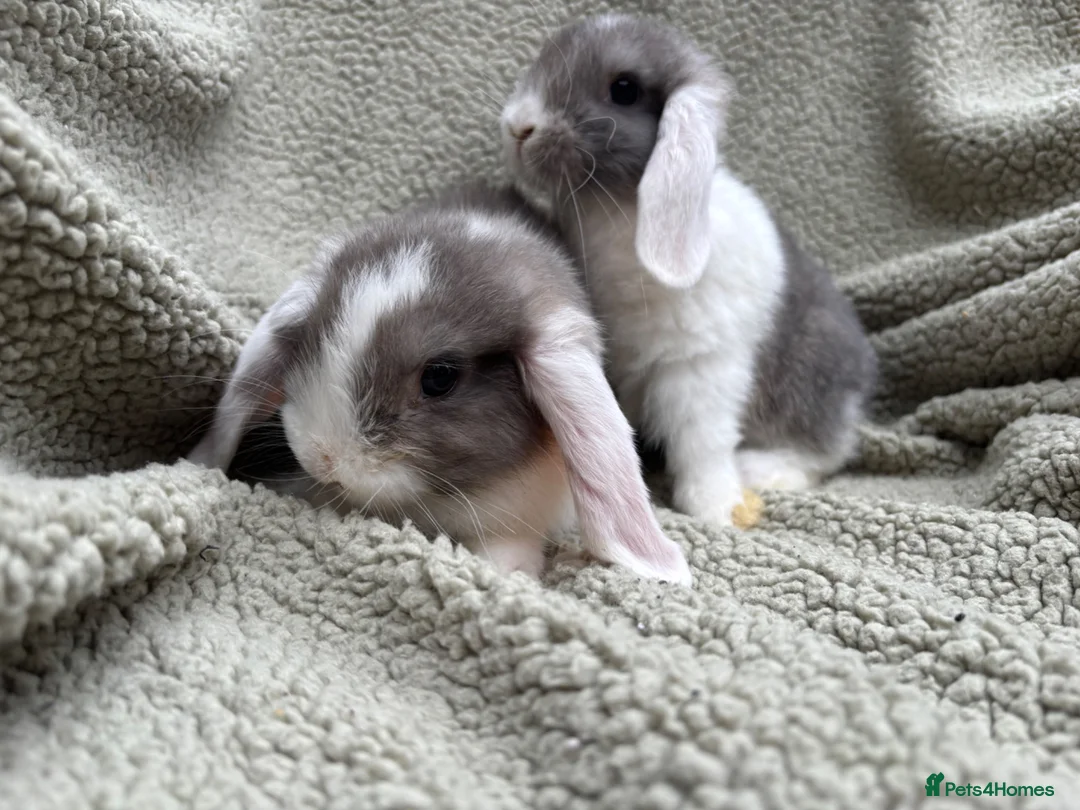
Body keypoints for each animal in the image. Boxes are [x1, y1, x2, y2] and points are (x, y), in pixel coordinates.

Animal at [499, 13, 878, 528]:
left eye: (624, 89)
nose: (519, 126)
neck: (616, 208)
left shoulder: (702, 370)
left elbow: (702, 442)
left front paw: (716, 507)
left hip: (810, 382)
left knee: (825, 451)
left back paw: (761, 471)